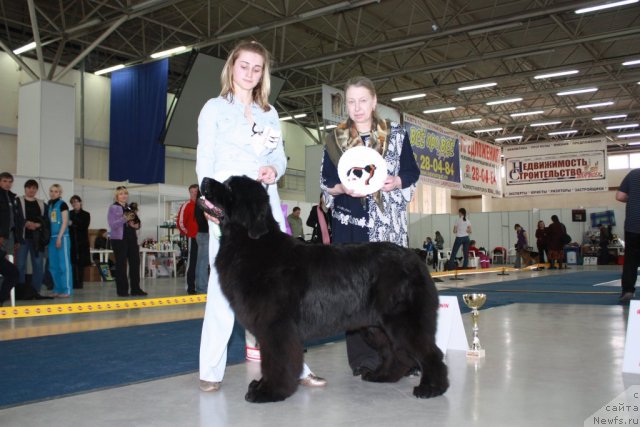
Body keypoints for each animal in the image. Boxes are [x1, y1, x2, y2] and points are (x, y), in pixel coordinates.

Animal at [198, 176, 448, 402]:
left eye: (230, 187)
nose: (205, 180)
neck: (250, 242)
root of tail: (416, 259)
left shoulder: (275, 326)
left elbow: (275, 361)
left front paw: (269, 391)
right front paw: (261, 386)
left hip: (402, 321)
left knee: (429, 352)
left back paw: (432, 388)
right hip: (376, 325)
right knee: (394, 352)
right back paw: (382, 376)